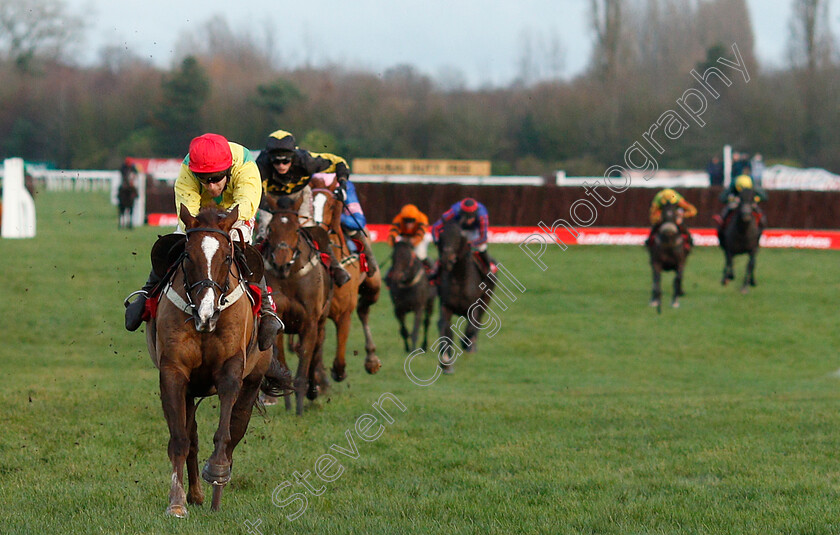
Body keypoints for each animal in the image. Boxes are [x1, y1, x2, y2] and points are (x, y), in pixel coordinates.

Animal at [145, 203, 272, 516]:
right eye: (188, 255)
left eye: (227, 257)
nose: (206, 314)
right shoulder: (174, 372)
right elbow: (180, 439)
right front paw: (177, 502)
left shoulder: (231, 369)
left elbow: (224, 434)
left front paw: (217, 470)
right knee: (191, 436)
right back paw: (196, 495)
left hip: (253, 381)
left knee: (236, 429)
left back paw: (217, 492)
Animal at [262, 195, 332, 416]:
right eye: (271, 229)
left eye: (295, 229)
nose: (281, 264)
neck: (290, 277)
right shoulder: (279, 320)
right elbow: (282, 363)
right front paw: (287, 403)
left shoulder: (310, 322)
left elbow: (305, 363)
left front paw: (299, 409)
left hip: (321, 321)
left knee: (316, 350)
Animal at [310, 176, 382, 382]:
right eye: (309, 202)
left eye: (331, 205)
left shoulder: (344, 313)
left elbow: (339, 362)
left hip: (374, 286)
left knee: (364, 309)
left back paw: (371, 359)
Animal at [436, 220, 496, 374]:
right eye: (442, 236)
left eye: (459, 238)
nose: (447, 260)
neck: (459, 278)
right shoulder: (446, 305)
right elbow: (446, 330)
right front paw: (446, 362)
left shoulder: (474, 305)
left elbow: (470, 328)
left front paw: (466, 343)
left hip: (486, 300)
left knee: (477, 324)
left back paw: (470, 346)